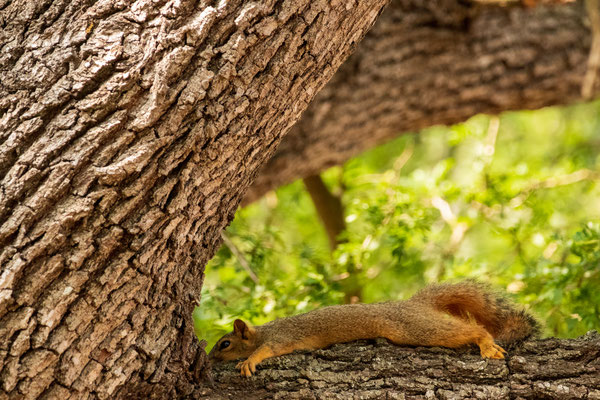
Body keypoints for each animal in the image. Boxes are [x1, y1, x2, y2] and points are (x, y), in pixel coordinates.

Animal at [207, 280, 540, 376]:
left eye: (225, 343)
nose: (208, 359)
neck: (262, 331)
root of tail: (414, 303)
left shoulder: (281, 337)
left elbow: (267, 350)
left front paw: (249, 361)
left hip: (414, 328)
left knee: (471, 331)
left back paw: (486, 343)